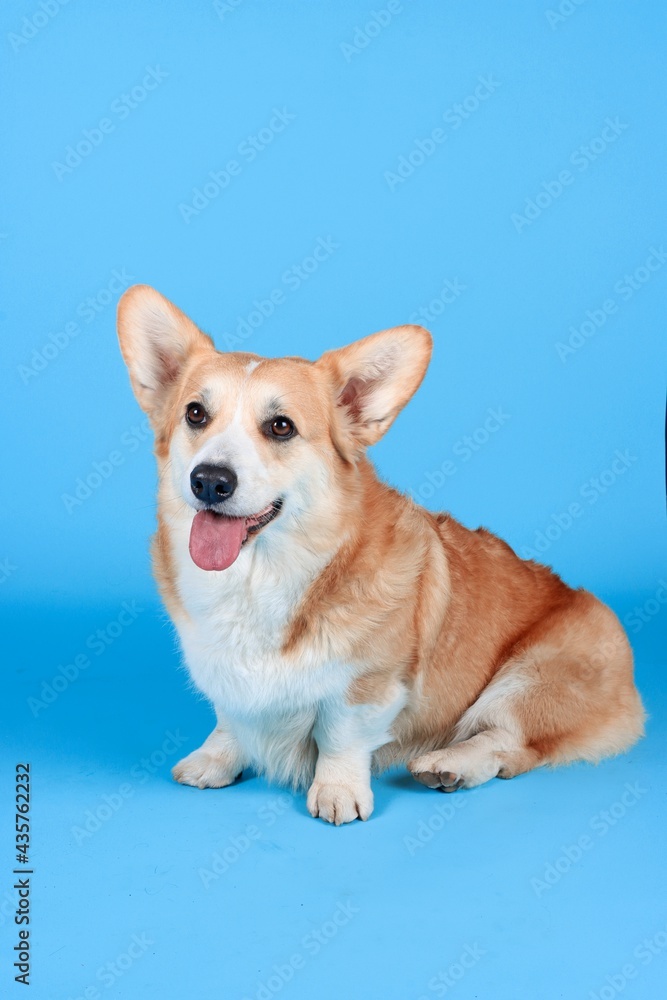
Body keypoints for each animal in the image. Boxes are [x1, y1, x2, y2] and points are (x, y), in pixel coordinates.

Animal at [117, 286, 644, 824]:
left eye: (281, 427)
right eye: (195, 414)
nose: (209, 480)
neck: (260, 578)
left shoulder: (369, 684)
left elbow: (340, 735)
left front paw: (338, 792)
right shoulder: (220, 671)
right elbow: (229, 717)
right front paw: (216, 758)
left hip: (530, 679)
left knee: (508, 744)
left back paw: (450, 764)